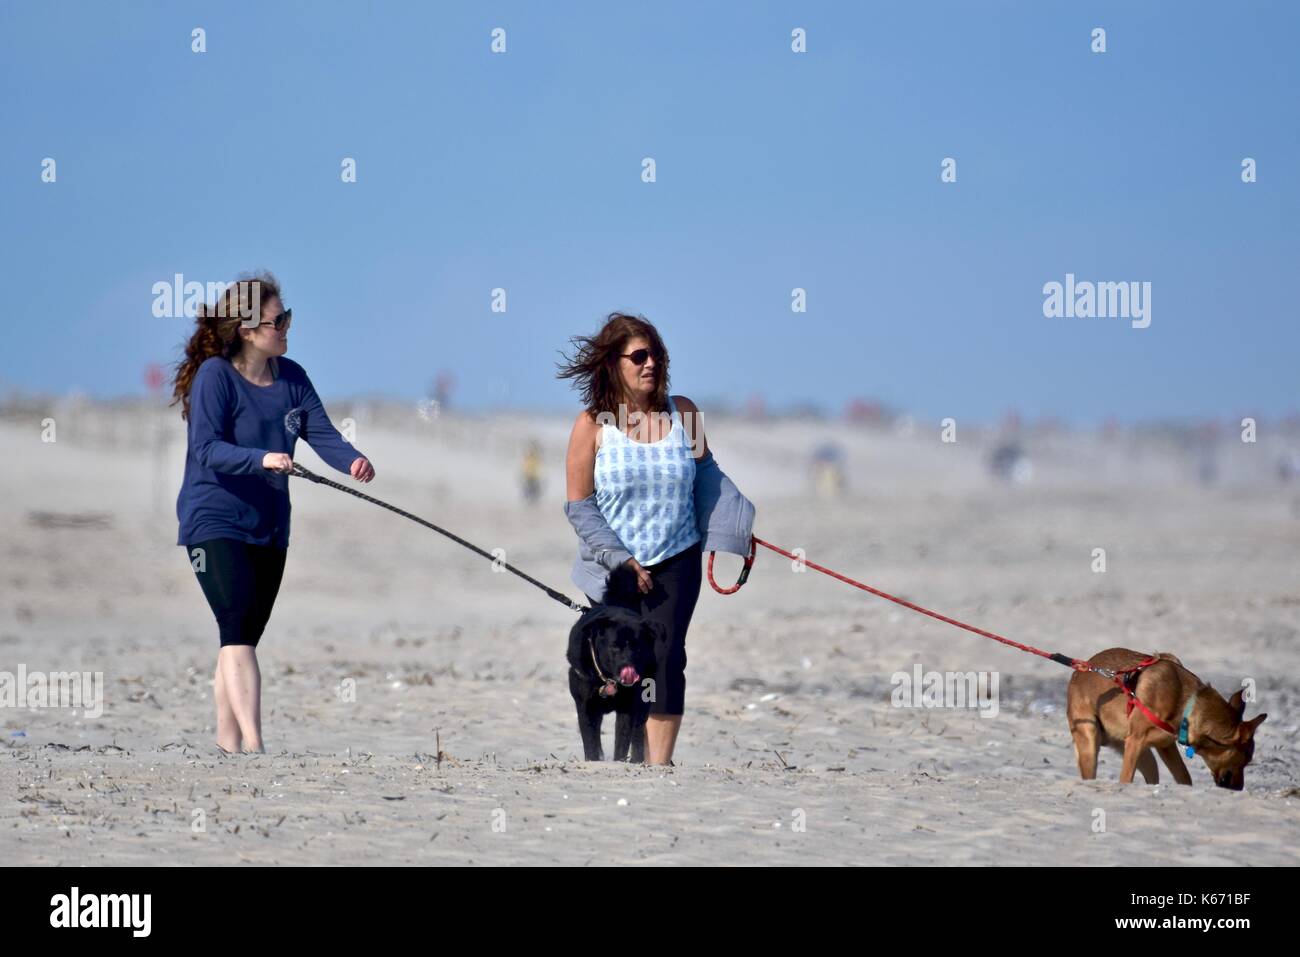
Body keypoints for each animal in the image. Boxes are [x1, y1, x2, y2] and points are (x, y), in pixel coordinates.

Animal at [566, 605, 665, 764]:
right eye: (614, 646)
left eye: (638, 647)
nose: (628, 667)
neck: (608, 680)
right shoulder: (586, 706)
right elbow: (590, 738)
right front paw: (593, 759)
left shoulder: (628, 707)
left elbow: (622, 740)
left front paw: (619, 761)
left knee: (638, 730)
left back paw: (637, 760)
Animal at [1066, 650, 1268, 790]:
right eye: (1247, 759)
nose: (1239, 789)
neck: (1188, 706)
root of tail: (1077, 674)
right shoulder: (1136, 742)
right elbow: (1125, 778)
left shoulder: (1165, 746)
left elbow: (1184, 776)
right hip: (1091, 744)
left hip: (1143, 756)